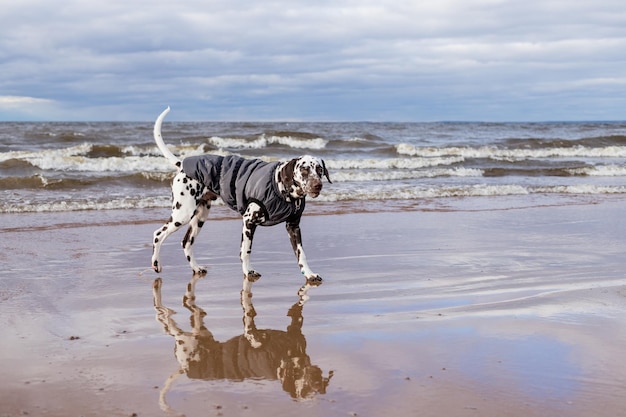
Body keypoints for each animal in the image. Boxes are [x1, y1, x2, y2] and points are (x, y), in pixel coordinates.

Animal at [150, 107, 332, 282]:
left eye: (319, 170)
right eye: (304, 170)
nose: (318, 185)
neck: (281, 188)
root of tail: (182, 165)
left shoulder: (293, 227)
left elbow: (301, 255)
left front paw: (309, 274)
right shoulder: (248, 222)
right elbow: (245, 251)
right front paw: (247, 271)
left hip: (199, 217)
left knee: (186, 242)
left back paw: (196, 268)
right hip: (183, 214)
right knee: (158, 235)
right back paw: (156, 263)